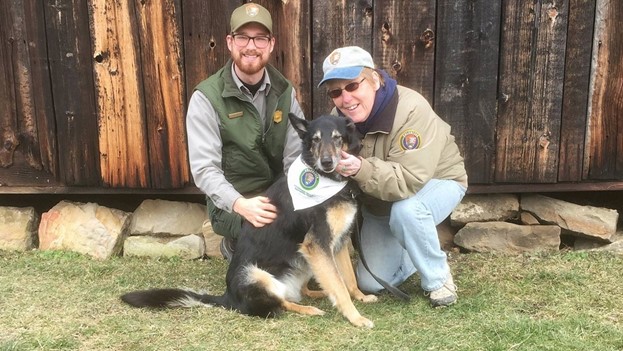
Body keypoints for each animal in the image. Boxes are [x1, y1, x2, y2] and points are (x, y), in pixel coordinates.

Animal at [120, 114, 378, 328]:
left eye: (337, 138)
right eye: (315, 140)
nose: (326, 162)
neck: (328, 180)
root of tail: (227, 297)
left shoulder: (337, 243)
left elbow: (347, 279)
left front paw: (360, 297)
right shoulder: (318, 245)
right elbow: (340, 286)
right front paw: (355, 317)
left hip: (302, 260)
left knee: (299, 292)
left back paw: (319, 294)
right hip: (256, 274)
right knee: (279, 303)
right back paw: (309, 308)